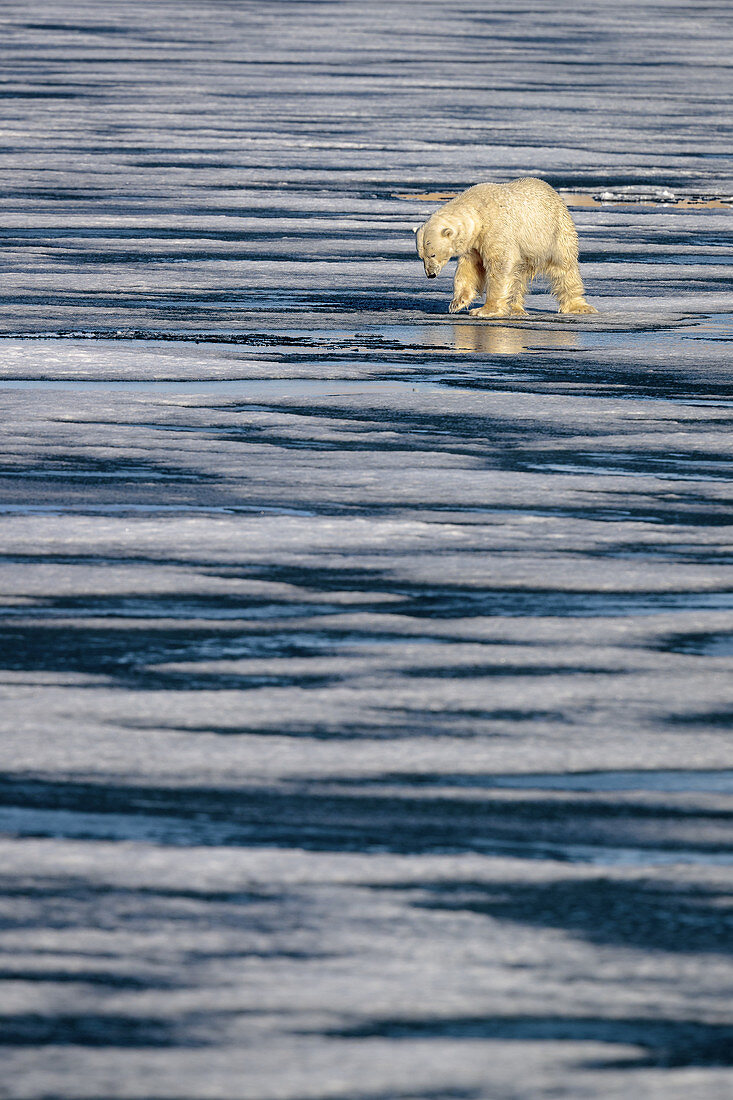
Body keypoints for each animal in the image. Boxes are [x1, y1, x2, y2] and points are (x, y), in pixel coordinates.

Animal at [416, 174, 594, 314]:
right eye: (421, 257)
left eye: (433, 254)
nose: (430, 274)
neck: (477, 211)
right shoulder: (474, 242)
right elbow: (469, 267)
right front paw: (457, 303)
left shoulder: (496, 229)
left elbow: (500, 265)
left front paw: (485, 310)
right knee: (518, 275)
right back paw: (515, 308)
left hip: (555, 232)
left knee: (564, 268)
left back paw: (578, 306)